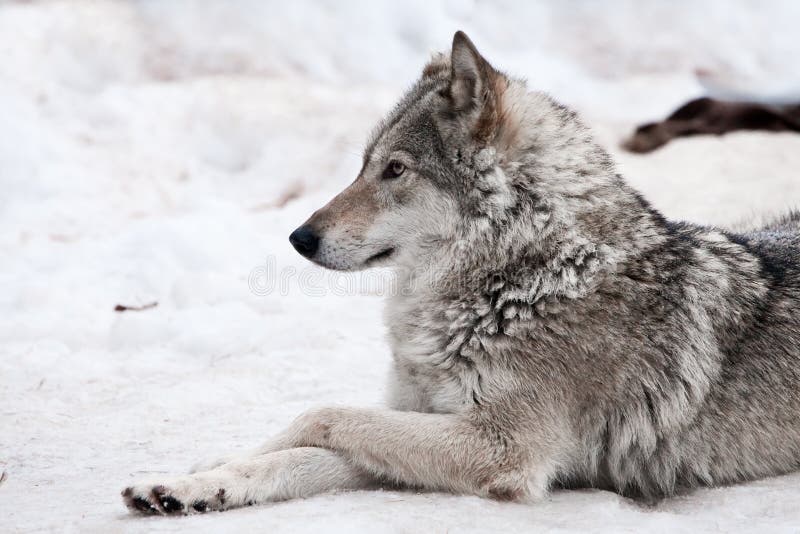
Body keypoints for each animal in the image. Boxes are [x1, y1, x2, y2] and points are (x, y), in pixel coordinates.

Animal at [122, 31, 800, 516]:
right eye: (363, 165)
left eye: (396, 169)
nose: (298, 238)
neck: (521, 277)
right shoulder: (430, 420)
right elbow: (299, 450)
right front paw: (196, 481)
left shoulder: (499, 448)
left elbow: (323, 415)